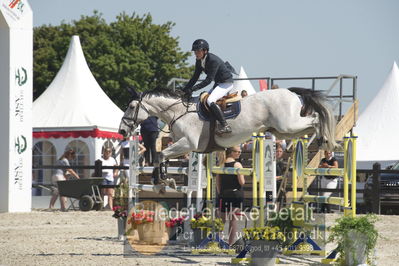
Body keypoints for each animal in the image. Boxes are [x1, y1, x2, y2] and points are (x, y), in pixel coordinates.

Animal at [119, 88, 338, 190]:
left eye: (131, 106)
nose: (122, 130)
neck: (178, 113)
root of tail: (290, 92)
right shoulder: (183, 146)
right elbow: (161, 156)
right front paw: (165, 180)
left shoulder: (188, 144)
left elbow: (159, 154)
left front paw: (163, 180)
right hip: (283, 131)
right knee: (309, 124)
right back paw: (322, 139)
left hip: (287, 125)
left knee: (316, 118)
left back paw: (326, 139)